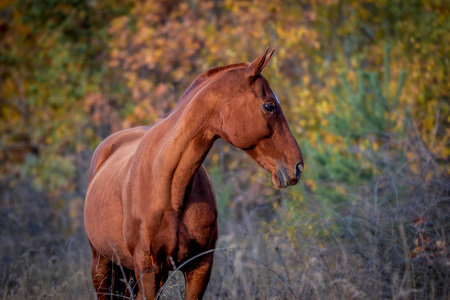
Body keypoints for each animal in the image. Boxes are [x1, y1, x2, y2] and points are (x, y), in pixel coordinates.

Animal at [84, 48, 302, 298]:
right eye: (269, 106)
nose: (297, 166)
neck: (169, 187)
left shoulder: (199, 267)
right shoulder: (149, 269)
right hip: (102, 265)